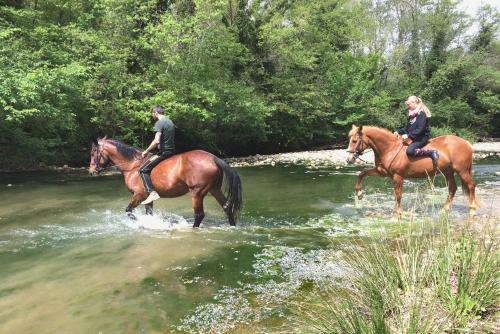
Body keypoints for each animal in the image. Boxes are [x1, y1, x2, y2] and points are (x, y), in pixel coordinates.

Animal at [88, 136, 242, 227]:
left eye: (93, 153)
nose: (91, 171)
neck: (132, 166)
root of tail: (213, 158)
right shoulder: (147, 198)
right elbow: (148, 213)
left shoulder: (139, 195)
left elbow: (129, 211)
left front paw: (140, 223)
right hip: (214, 189)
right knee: (227, 206)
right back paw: (232, 226)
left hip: (197, 193)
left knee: (199, 214)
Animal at [346, 125, 478, 217]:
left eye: (354, 141)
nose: (349, 159)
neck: (390, 148)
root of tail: (466, 142)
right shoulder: (381, 172)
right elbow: (362, 173)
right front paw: (359, 193)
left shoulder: (398, 176)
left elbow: (398, 194)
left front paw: (398, 212)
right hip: (448, 172)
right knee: (452, 188)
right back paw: (444, 210)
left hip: (462, 171)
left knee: (471, 185)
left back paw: (472, 209)